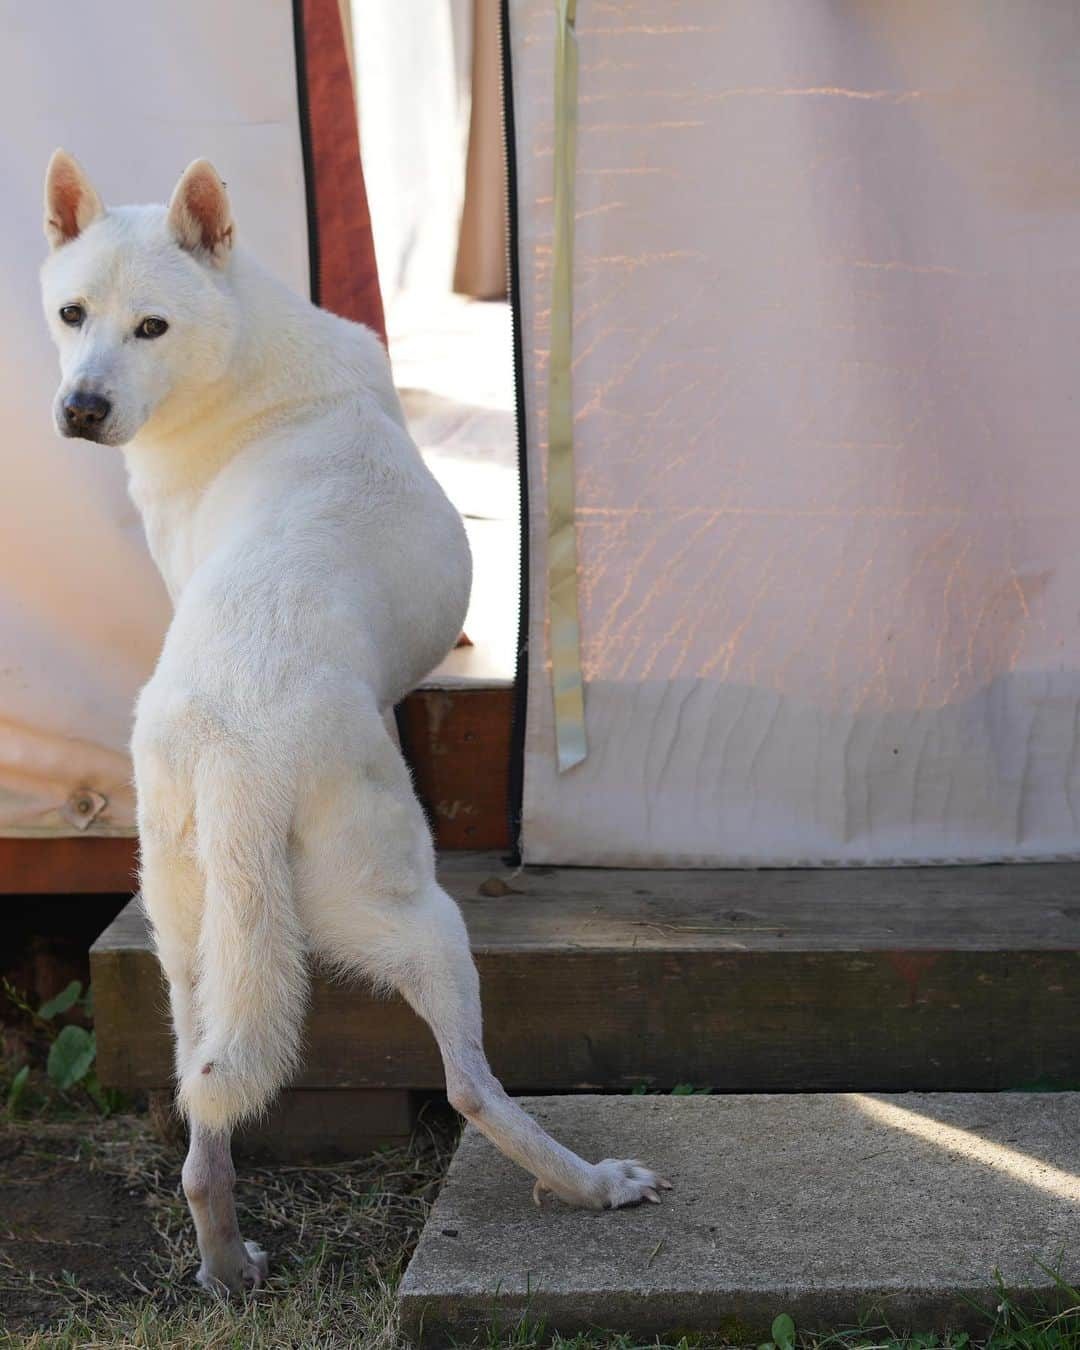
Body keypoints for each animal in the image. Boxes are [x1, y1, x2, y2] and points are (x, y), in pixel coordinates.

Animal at [40, 153, 666, 1290]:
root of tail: (238, 754)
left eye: (150, 326)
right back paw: (588, 1183)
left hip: (191, 940)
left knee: (202, 1107)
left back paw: (227, 1262)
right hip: (411, 912)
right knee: (466, 1087)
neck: (234, 364)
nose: (82, 407)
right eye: (72, 314)